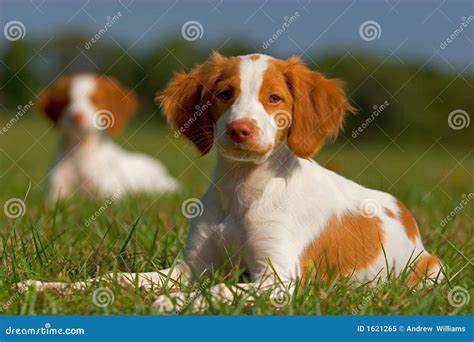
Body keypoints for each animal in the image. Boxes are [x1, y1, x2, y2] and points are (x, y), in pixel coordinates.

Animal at [38, 74, 180, 203]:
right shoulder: (54, 192)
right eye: (66, 101)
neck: (80, 152)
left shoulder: (110, 193)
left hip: (163, 186)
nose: (77, 117)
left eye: (95, 100)